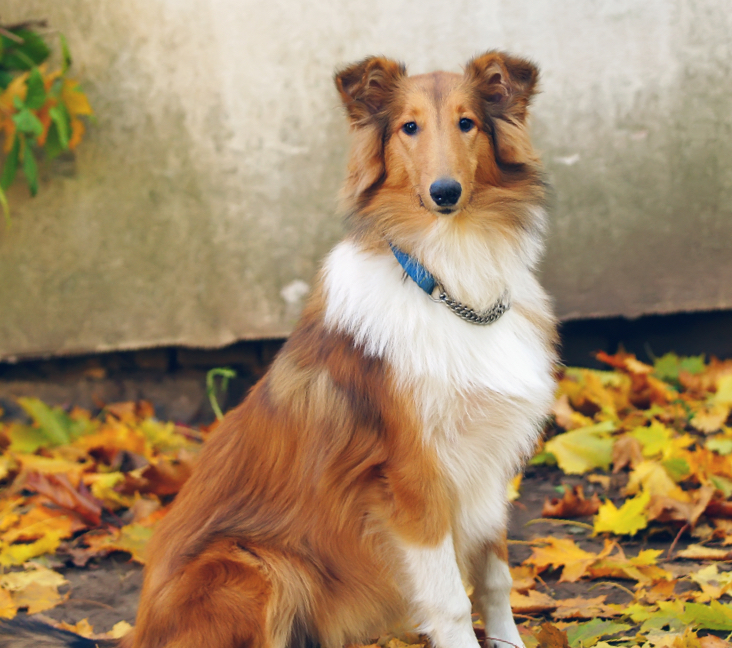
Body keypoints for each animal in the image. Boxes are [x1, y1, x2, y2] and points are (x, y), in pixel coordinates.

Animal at [0, 50, 556, 648]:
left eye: (466, 122)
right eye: (409, 128)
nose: (445, 193)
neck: (450, 279)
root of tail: (137, 634)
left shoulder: (487, 466)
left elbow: (495, 579)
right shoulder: (411, 480)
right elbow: (451, 601)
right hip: (259, 566)